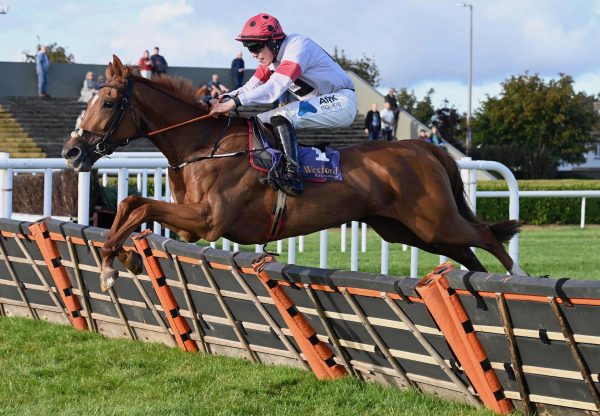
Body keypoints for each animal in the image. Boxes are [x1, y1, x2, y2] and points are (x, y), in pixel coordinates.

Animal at [63, 57, 524, 290]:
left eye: (107, 103)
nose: (72, 151)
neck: (202, 145)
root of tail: (422, 146)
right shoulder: (190, 226)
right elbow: (131, 205)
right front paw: (117, 258)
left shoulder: (209, 221)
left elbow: (138, 207)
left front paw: (111, 263)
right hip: (406, 229)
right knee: (466, 253)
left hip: (433, 220)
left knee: (484, 235)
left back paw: (517, 276)